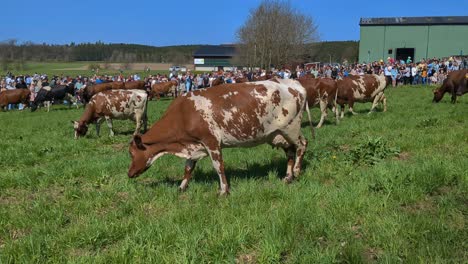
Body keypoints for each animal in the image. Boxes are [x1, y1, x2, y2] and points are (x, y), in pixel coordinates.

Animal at [128, 78, 310, 194]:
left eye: (131, 153)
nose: (129, 173)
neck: (184, 113)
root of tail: (292, 82)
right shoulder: (194, 145)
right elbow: (188, 169)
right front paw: (181, 187)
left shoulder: (211, 142)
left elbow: (219, 167)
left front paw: (223, 190)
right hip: (278, 134)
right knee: (290, 152)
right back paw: (288, 177)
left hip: (291, 128)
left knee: (302, 144)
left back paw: (296, 171)